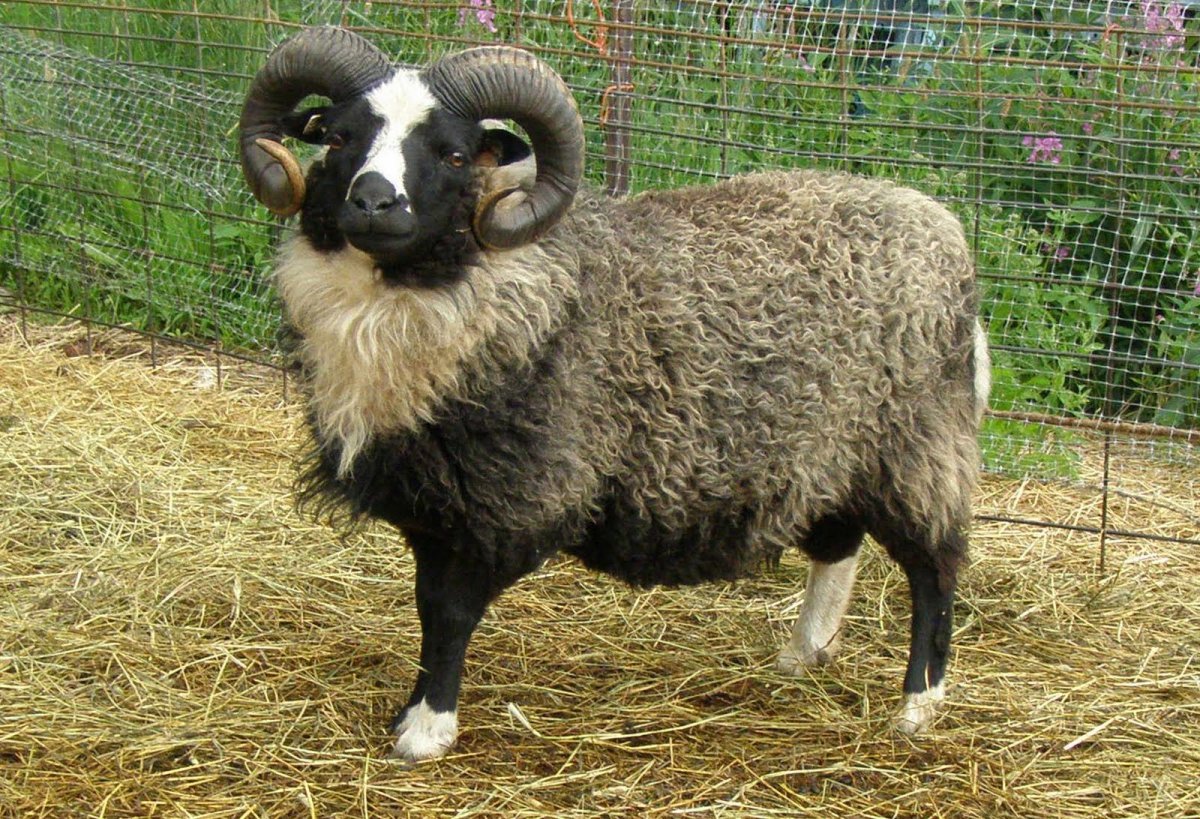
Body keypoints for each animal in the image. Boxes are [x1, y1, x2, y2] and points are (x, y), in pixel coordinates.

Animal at [238, 26, 990, 762]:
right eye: (338, 137)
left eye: (452, 154)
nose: (372, 202)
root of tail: (945, 230)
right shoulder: (434, 500)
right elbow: (426, 604)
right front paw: (413, 711)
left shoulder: (510, 497)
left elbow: (449, 613)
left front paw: (426, 730)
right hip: (831, 451)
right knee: (840, 543)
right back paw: (804, 654)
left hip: (918, 445)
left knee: (936, 568)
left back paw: (918, 705)